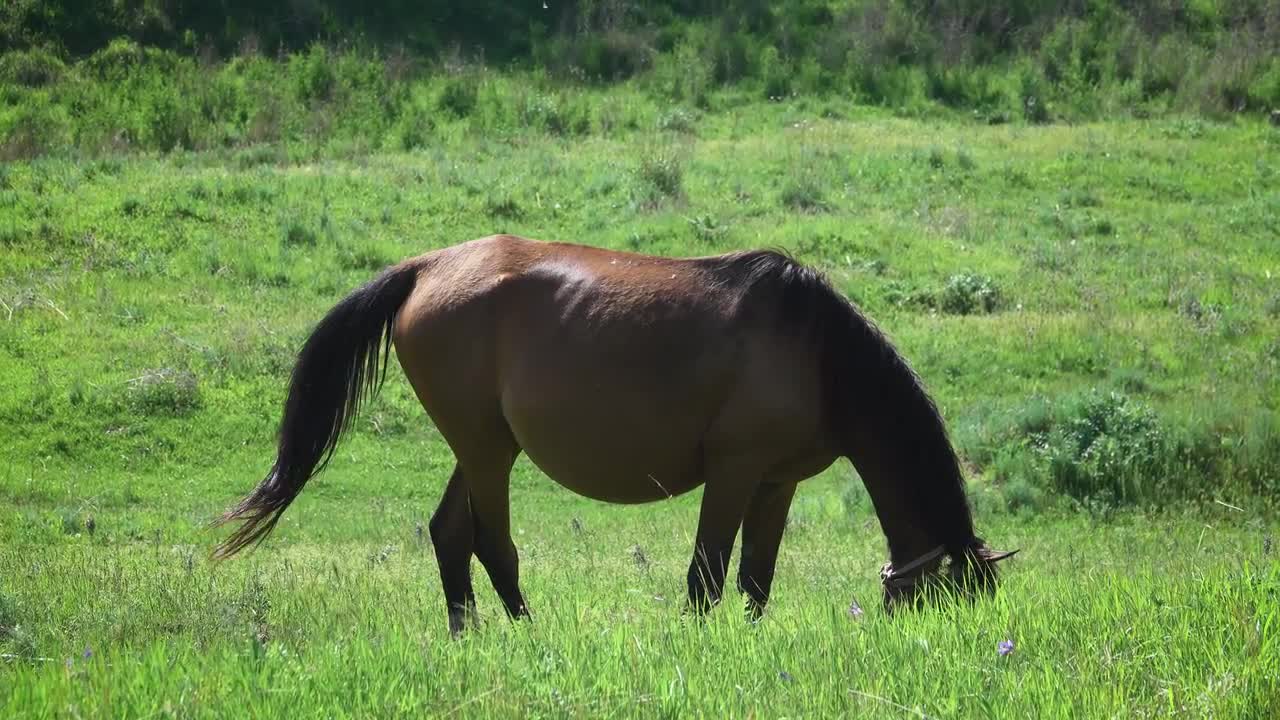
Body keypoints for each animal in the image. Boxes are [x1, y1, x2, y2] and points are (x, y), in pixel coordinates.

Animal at [212, 234, 1016, 634]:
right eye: (949, 600)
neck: (817, 351)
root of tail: (427, 267)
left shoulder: (777, 481)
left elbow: (756, 581)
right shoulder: (733, 470)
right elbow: (707, 574)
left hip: (482, 447)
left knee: (449, 534)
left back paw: (467, 635)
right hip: (486, 452)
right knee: (492, 544)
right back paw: (528, 635)